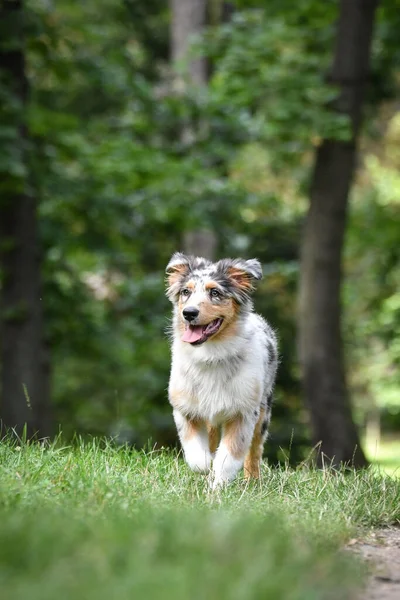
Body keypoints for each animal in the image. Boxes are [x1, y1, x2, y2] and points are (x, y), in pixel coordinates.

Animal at [166, 253, 278, 488]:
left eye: (215, 292)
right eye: (185, 292)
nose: (189, 313)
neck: (210, 354)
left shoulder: (243, 413)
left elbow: (229, 456)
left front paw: (219, 486)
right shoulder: (185, 408)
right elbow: (196, 452)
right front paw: (204, 466)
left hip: (264, 409)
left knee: (255, 449)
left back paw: (252, 480)